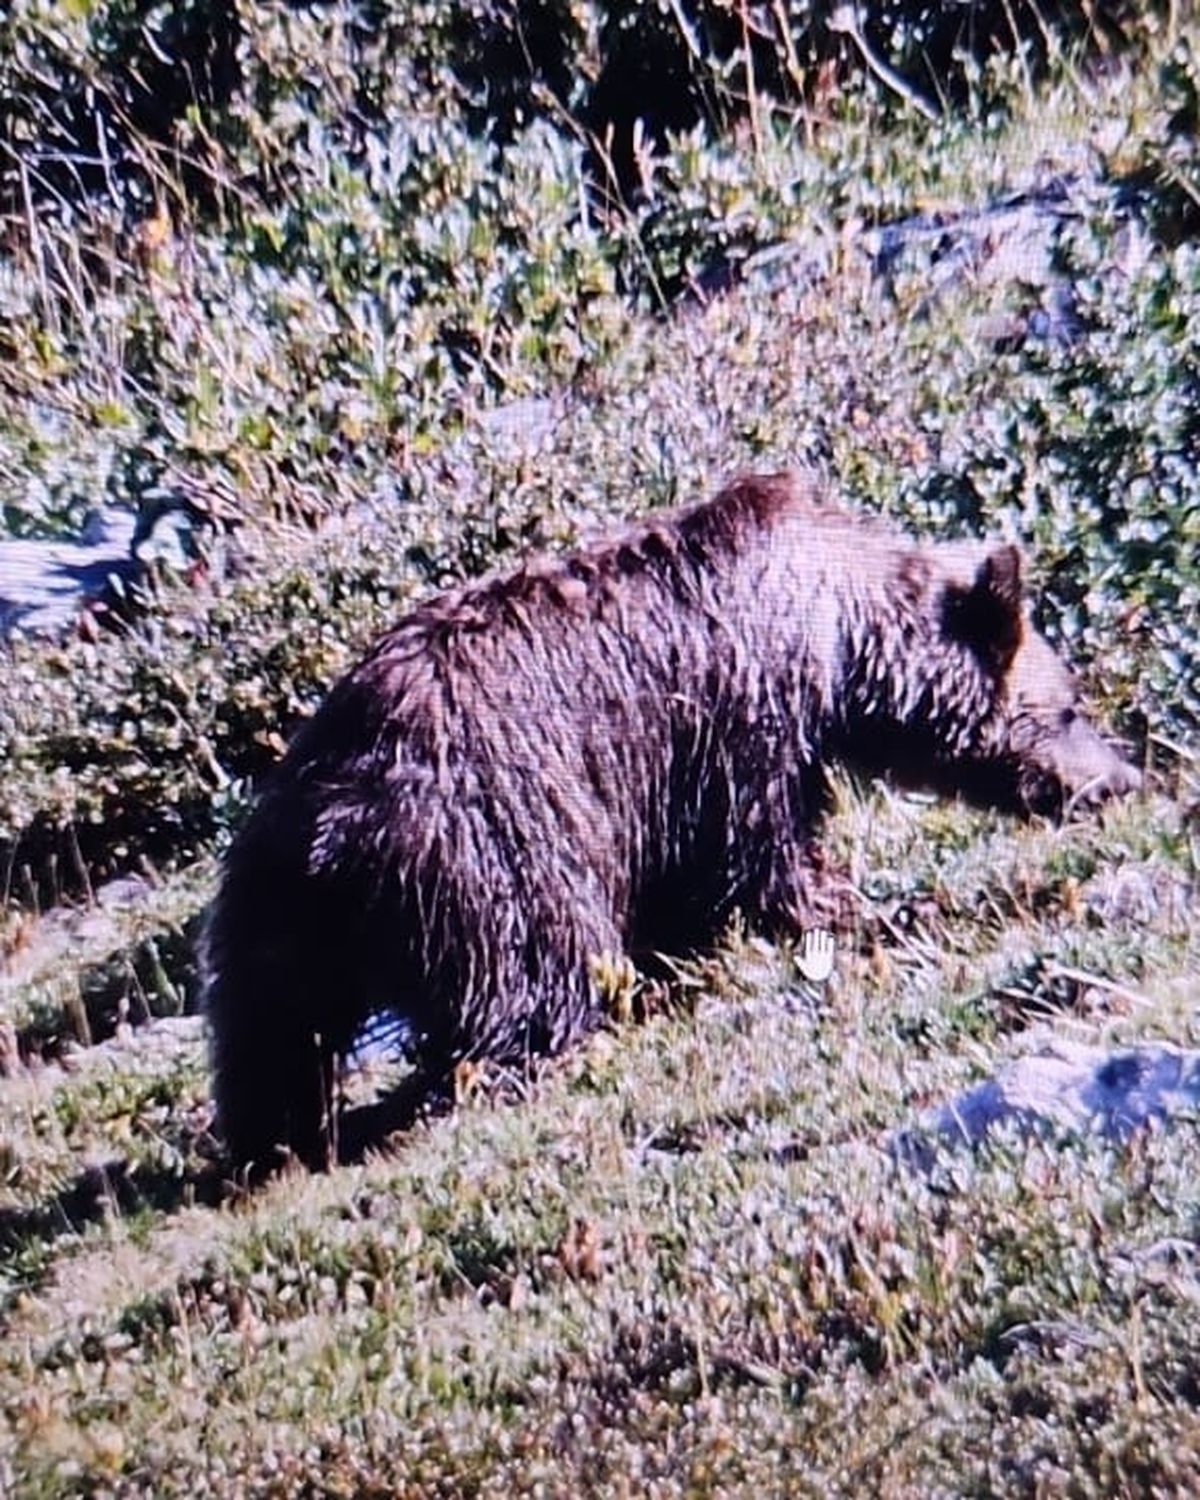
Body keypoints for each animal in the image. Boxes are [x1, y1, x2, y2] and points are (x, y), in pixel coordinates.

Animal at [202, 470, 1141, 1175]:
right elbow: (757, 847)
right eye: (1070, 704)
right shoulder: (739, 715)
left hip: (270, 892)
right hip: (490, 835)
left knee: (269, 1024)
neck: (839, 627)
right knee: (535, 965)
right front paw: (846, 908)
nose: (1117, 781)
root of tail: (338, 818)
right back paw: (512, 1059)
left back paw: (275, 1138)